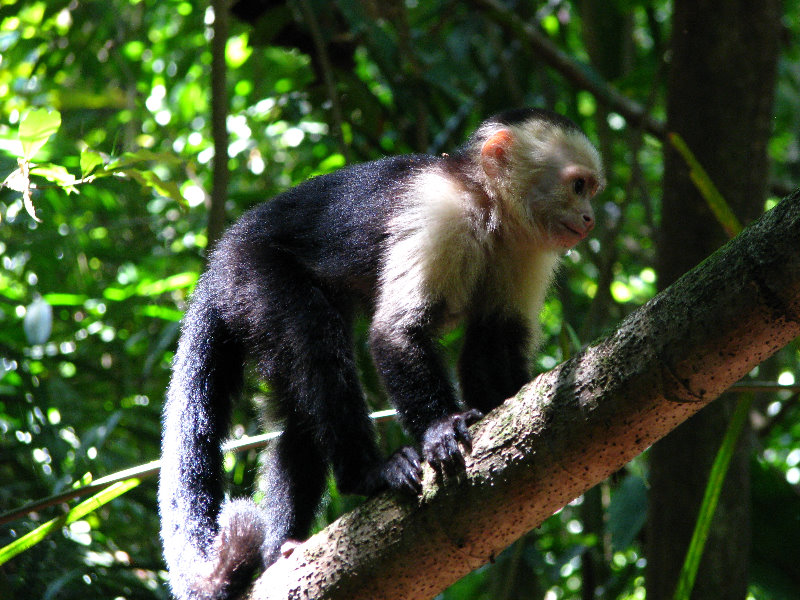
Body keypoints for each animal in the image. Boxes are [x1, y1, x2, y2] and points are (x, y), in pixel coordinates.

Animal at [159, 109, 604, 600]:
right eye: (577, 185)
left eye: (592, 189)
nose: (590, 219)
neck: (488, 206)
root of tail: (217, 261)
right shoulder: (440, 211)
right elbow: (395, 333)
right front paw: (439, 428)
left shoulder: (526, 249)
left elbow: (492, 344)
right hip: (253, 276)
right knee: (316, 346)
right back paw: (366, 473)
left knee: (299, 413)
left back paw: (282, 548)